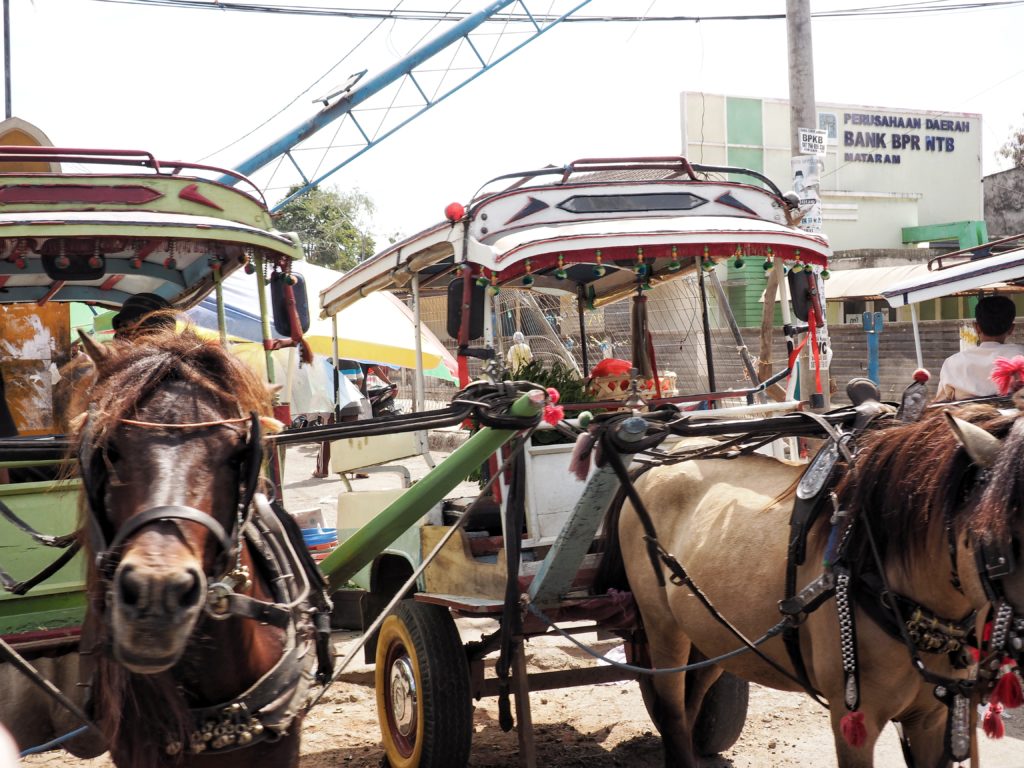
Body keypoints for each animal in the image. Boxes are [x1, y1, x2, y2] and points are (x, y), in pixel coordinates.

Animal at [606, 405, 1024, 765]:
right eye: (997, 537)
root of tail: (657, 461)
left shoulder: (934, 719)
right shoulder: (853, 718)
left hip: (713, 632)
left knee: (694, 694)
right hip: (662, 625)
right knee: (671, 706)